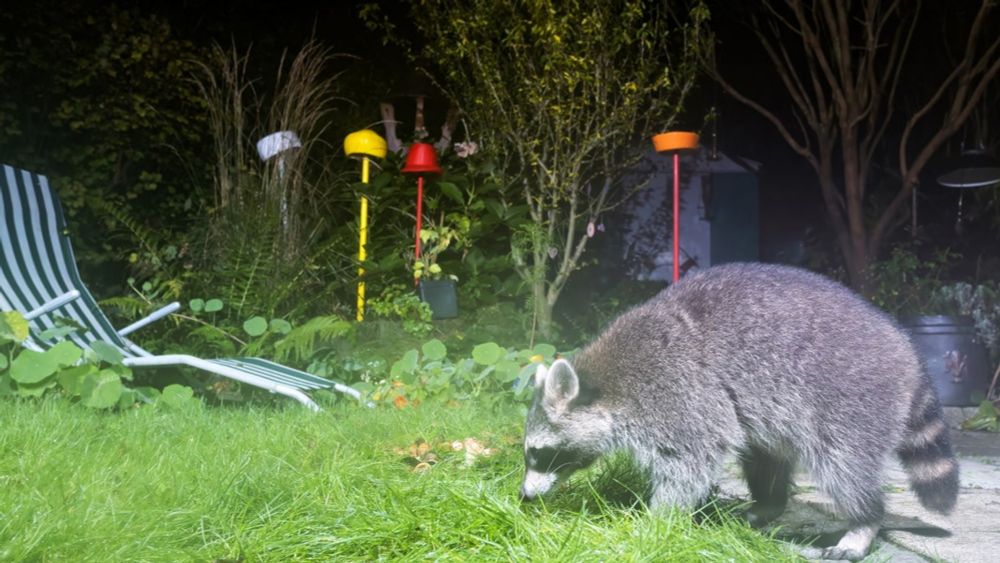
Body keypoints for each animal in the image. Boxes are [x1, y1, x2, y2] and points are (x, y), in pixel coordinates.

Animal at [520, 264, 956, 560]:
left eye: (537, 453)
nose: (523, 497)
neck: (604, 384)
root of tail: (906, 349)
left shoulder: (677, 391)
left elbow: (688, 461)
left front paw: (656, 521)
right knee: (765, 453)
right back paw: (768, 502)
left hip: (849, 397)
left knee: (843, 464)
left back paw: (863, 522)